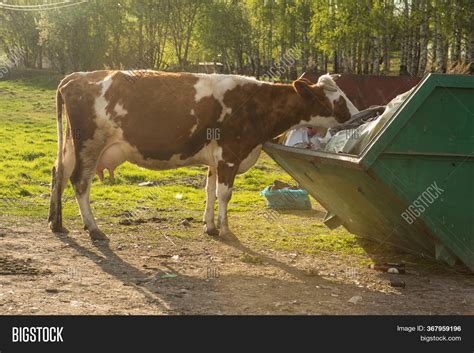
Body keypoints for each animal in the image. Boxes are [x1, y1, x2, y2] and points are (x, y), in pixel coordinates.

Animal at [48, 71, 358, 242]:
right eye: (338, 99)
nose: (356, 115)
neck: (257, 104)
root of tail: (76, 76)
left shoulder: (215, 160)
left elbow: (209, 190)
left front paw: (209, 226)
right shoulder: (230, 155)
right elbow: (224, 194)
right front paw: (225, 229)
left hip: (72, 145)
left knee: (58, 173)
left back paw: (56, 223)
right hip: (89, 144)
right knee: (79, 182)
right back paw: (93, 229)